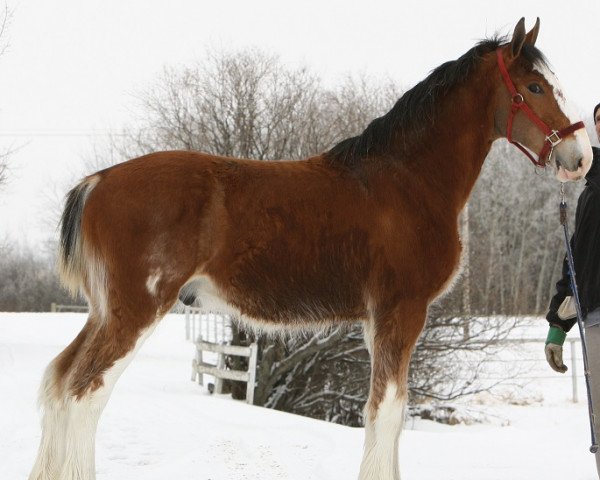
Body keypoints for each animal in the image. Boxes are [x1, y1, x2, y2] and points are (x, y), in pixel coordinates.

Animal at [29, 18, 592, 480]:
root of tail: (98, 182)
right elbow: (386, 412)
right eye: (535, 86)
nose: (581, 156)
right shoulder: (401, 311)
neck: (407, 181)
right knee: (83, 394)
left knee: (59, 381)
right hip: (135, 310)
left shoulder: (378, 320)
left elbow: (390, 412)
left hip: (105, 312)